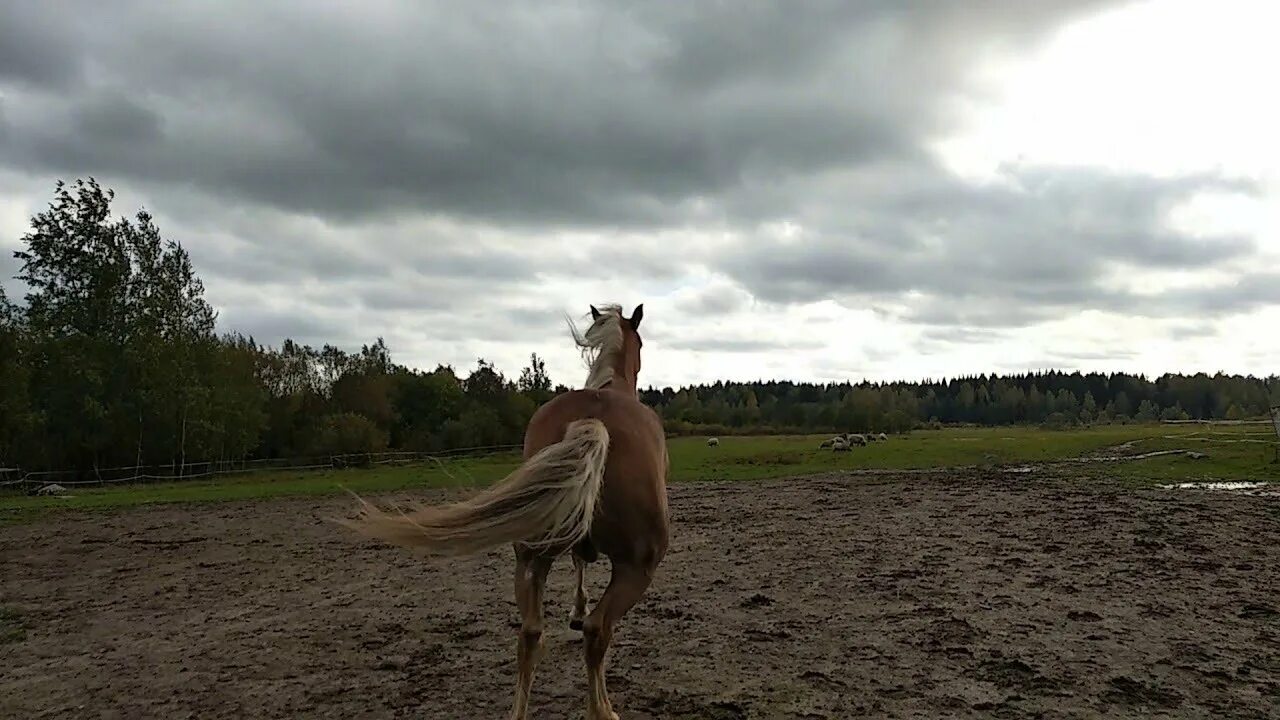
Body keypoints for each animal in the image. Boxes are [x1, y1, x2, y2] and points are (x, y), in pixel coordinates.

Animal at [337, 302, 670, 717]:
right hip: (637, 566)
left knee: (530, 634)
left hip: (530, 556)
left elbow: (578, 562)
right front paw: (578, 613)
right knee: (597, 632)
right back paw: (604, 709)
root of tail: (595, 420)